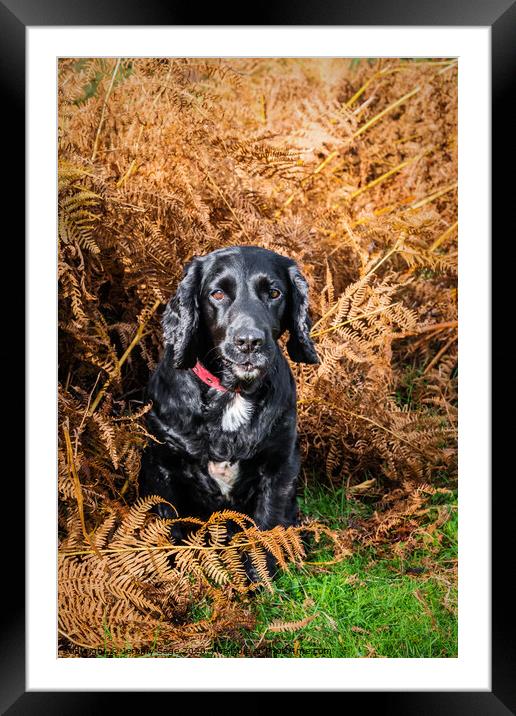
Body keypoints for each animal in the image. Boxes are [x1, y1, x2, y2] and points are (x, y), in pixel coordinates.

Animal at [140, 245, 318, 536]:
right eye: (218, 293)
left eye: (274, 293)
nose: (249, 342)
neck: (232, 393)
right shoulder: (162, 466)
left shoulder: (280, 466)